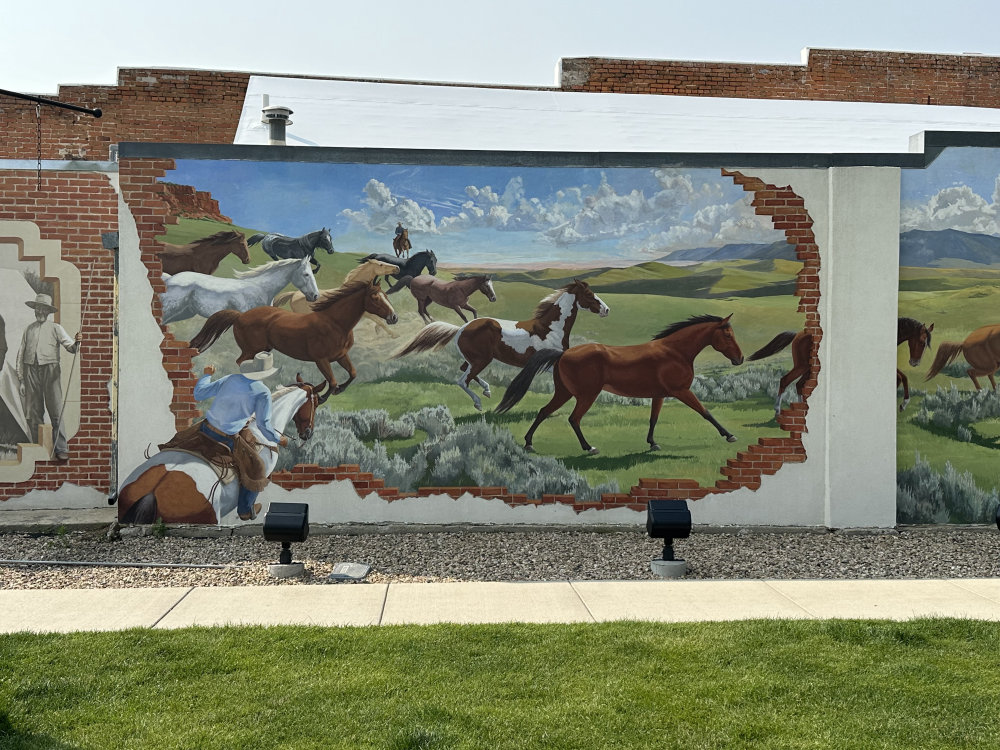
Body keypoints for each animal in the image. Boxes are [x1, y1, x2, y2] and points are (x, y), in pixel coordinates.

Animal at [158, 258, 318, 324]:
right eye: (306, 274)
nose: (315, 296)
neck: (262, 289)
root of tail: (170, 278)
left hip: (185, 312)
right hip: (169, 310)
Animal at [189, 280, 396, 402]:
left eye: (386, 295)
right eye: (375, 297)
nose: (394, 318)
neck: (335, 323)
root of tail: (240, 315)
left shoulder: (341, 355)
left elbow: (352, 373)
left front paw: (339, 390)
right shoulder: (321, 360)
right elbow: (332, 381)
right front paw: (322, 398)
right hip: (250, 350)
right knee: (240, 364)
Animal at [390, 280, 608, 412]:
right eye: (590, 295)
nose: (606, 309)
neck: (550, 328)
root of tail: (461, 328)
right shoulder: (552, 363)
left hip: (475, 359)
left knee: (464, 370)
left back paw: (487, 390)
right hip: (482, 360)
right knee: (462, 380)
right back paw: (478, 403)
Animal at [496, 314, 748, 456]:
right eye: (727, 334)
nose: (740, 358)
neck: (675, 352)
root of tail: (563, 353)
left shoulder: (660, 394)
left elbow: (653, 419)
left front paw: (652, 443)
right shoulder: (681, 391)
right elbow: (705, 412)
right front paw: (729, 435)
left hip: (565, 392)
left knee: (543, 412)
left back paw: (529, 444)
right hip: (586, 395)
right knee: (573, 419)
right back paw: (589, 448)